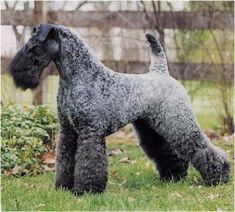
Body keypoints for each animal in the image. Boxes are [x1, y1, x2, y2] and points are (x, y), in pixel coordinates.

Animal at [10, 24, 229, 195]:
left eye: (35, 46)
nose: (15, 70)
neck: (77, 77)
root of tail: (161, 72)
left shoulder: (90, 131)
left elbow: (89, 161)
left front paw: (86, 190)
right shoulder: (68, 131)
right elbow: (65, 159)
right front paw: (64, 187)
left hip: (178, 121)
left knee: (201, 146)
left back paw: (219, 175)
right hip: (152, 127)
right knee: (169, 151)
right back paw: (173, 176)